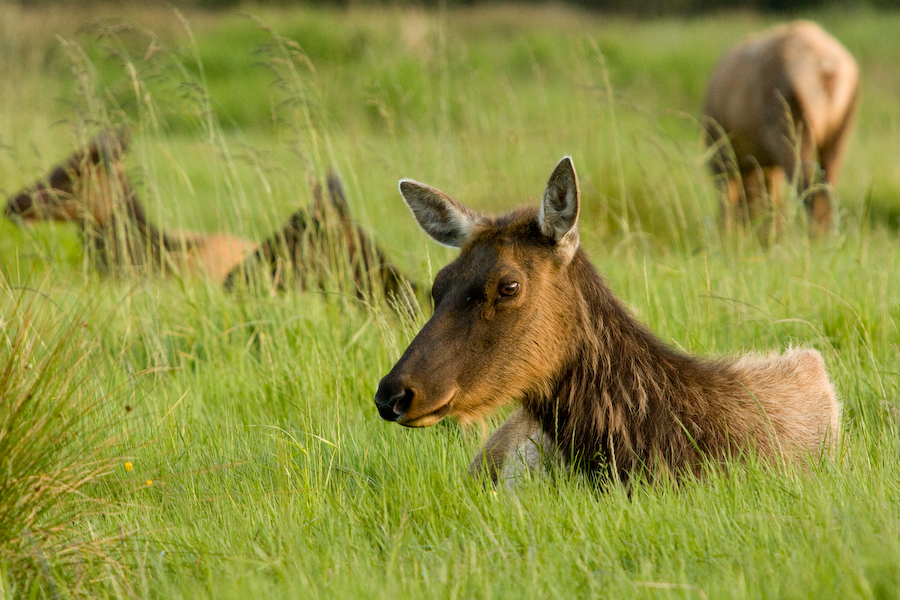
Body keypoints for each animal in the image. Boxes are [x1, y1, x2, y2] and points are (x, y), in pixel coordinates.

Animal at [704, 21, 856, 237]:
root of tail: (825, 68)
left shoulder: (720, 152)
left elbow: (729, 198)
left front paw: (728, 235)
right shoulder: (765, 162)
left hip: (791, 124)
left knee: (807, 188)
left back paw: (814, 237)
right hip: (841, 129)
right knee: (826, 189)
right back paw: (827, 235)